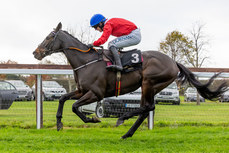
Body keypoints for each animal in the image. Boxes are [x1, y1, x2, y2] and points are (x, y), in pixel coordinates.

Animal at [32, 22, 227, 139]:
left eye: (49, 37)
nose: (36, 52)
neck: (86, 61)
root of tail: (173, 62)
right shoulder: (82, 90)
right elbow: (63, 99)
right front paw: (59, 123)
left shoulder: (96, 93)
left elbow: (74, 106)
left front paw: (92, 120)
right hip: (148, 86)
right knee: (145, 109)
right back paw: (127, 133)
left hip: (149, 82)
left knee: (148, 107)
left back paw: (123, 118)